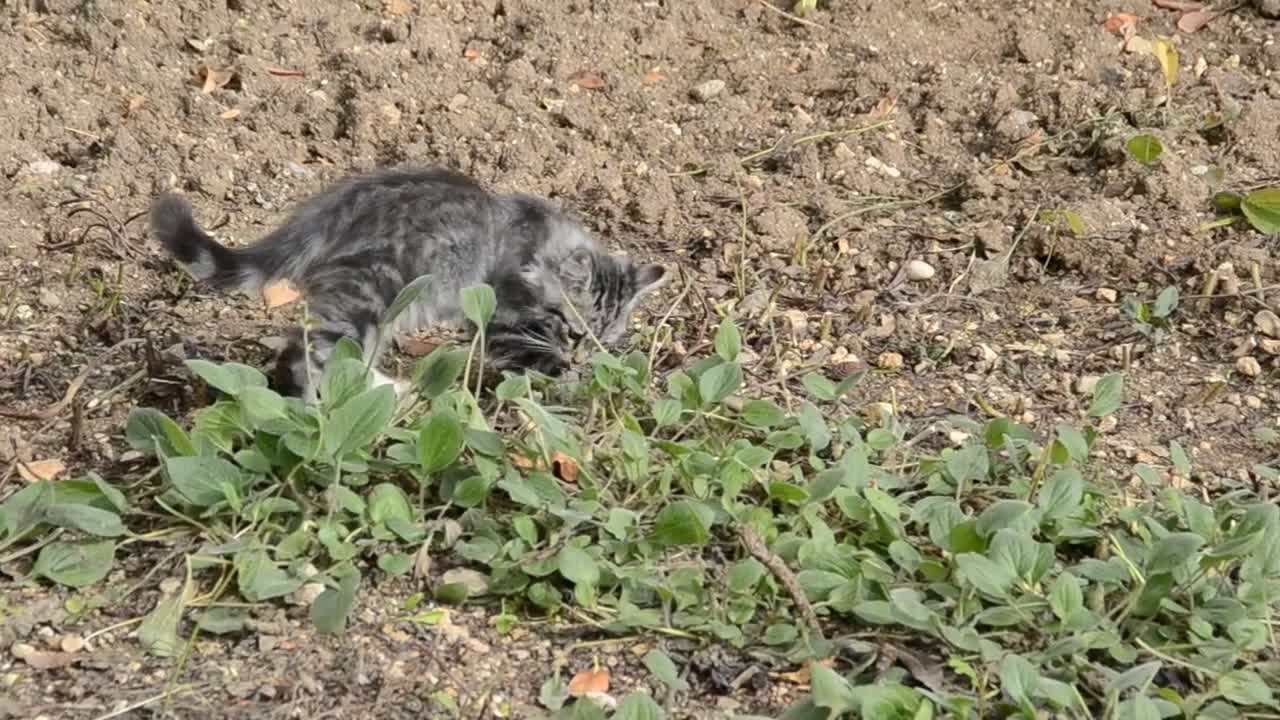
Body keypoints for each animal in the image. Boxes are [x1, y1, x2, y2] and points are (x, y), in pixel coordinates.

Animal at [149, 166, 670, 399]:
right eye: (574, 332)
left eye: (605, 340)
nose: (582, 355)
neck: (539, 246)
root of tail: (329, 209)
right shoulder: (504, 323)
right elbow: (548, 368)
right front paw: (591, 386)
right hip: (372, 296)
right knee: (310, 358)